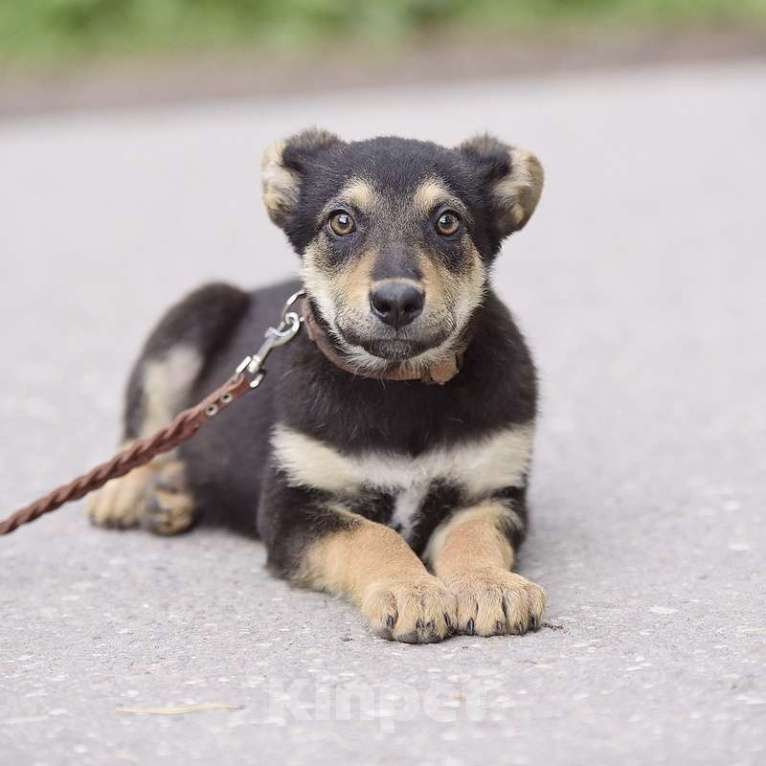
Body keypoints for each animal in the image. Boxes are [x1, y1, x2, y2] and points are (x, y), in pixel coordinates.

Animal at [88, 129, 544, 644]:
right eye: (341, 221)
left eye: (447, 221)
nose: (397, 301)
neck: (400, 385)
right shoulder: (293, 506)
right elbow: (373, 536)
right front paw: (410, 590)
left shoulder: (493, 490)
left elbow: (475, 535)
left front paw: (491, 585)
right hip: (196, 313)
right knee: (148, 430)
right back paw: (128, 490)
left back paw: (173, 495)